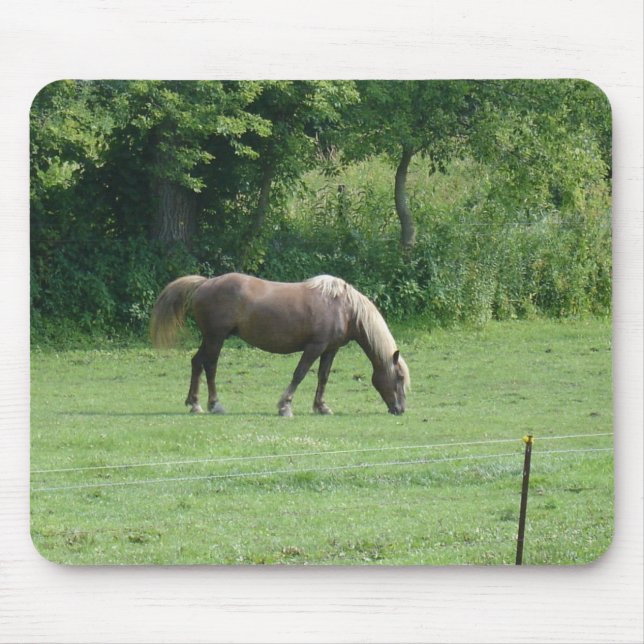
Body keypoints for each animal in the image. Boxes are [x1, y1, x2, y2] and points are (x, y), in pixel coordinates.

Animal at [150, 273, 410, 416]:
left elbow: (323, 377)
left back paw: (194, 403)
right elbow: (300, 374)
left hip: (210, 338)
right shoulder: (314, 347)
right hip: (216, 337)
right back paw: (214, 404)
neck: (344, 307)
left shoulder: (330, 349)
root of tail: (205, 283)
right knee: (210, 366)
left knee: (196, 362)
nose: (400, 409)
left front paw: (321, 407)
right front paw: (285, 406)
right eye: (399, 378)